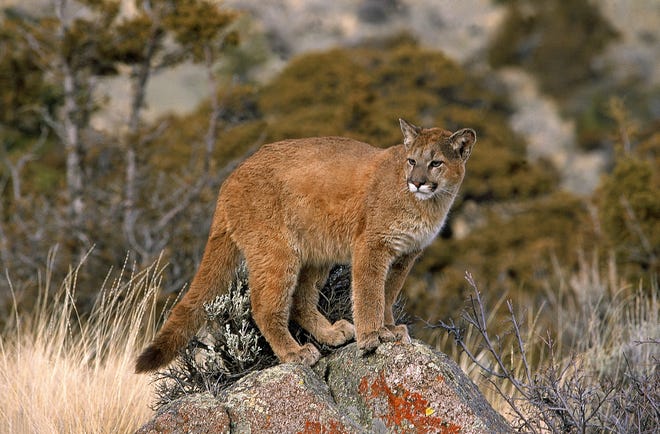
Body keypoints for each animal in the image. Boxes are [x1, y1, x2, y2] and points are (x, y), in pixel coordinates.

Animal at [135, 118, 474, 372]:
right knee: (264, 307)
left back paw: (331, 334)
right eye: (412, 161)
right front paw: (372, 335)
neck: (429, 204)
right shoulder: (372, 246)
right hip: (277, 252)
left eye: (436, 163)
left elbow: (388, 293)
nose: (417, 182)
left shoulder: (406, 255)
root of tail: (231, 176)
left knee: (300, 300)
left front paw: (389, 329)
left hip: (316, 252)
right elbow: (369, 293)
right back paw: (294, 353)